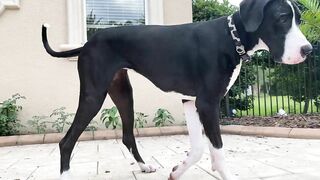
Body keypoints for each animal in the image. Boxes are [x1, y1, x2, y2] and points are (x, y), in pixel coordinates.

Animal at [40, 0, 312, 179]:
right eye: (282, 18)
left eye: (298, 19)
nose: (308, 50)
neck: (230, 37)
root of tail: (88, 42)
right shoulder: (207, 104)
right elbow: (218, 150)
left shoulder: (190, 102)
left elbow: (200, 148)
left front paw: (178, 170)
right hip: (93, 96)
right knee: (66, 142)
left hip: (124, 94)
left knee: (127, 136)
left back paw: (144, 166)